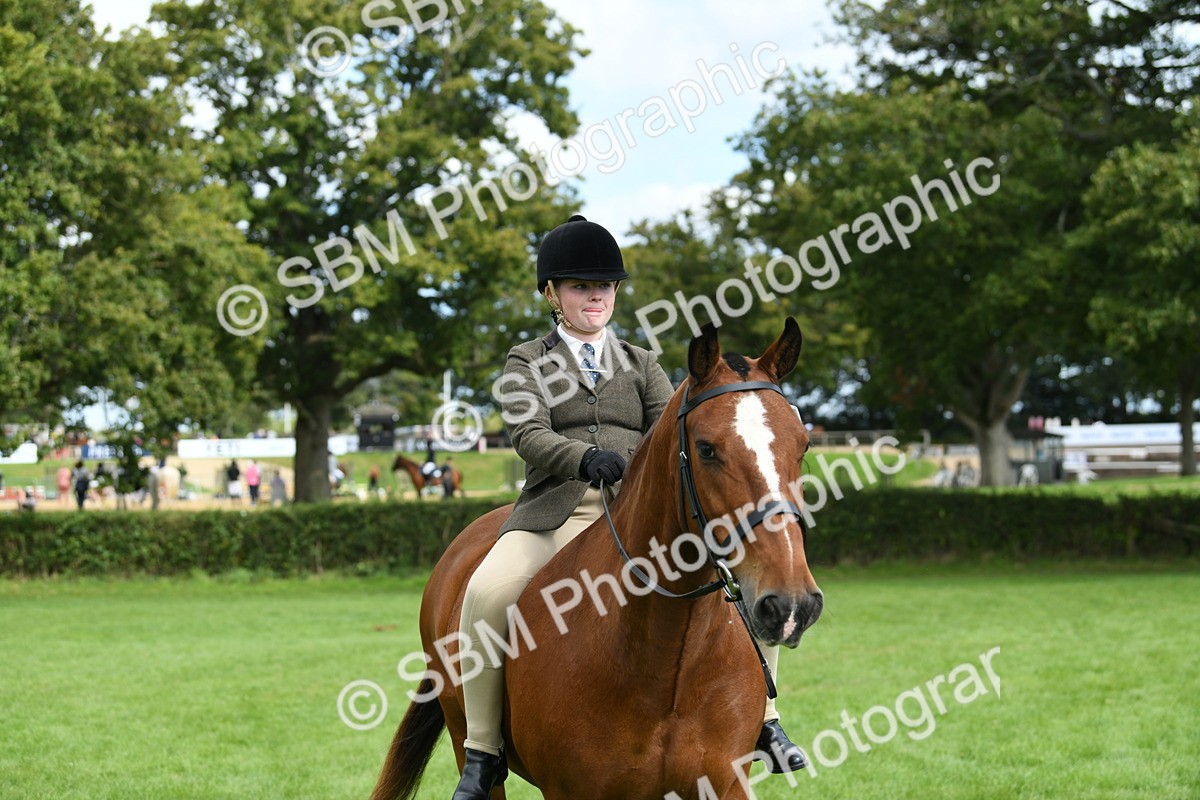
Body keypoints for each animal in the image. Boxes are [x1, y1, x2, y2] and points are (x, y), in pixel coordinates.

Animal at [370, 318, 823, 800]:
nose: (792, 604)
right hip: (464, 735)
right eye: (706, 449)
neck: (667, 655)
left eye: (803, 446)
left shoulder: (724, 784)